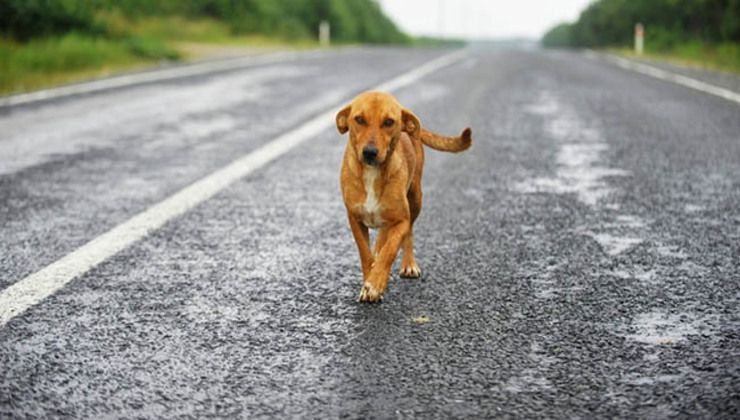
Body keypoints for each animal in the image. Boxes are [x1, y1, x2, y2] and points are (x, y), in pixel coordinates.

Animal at [334, 92, 468, 302]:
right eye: (359, 119)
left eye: (389, 122)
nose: (369, 152)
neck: (372, 174)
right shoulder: (355, 219)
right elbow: (365, 253)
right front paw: (370, 277)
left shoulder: (401, 220)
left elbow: (390, 250)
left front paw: (375, 284)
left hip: (416, 200)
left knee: (408, 234)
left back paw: (408, 265)